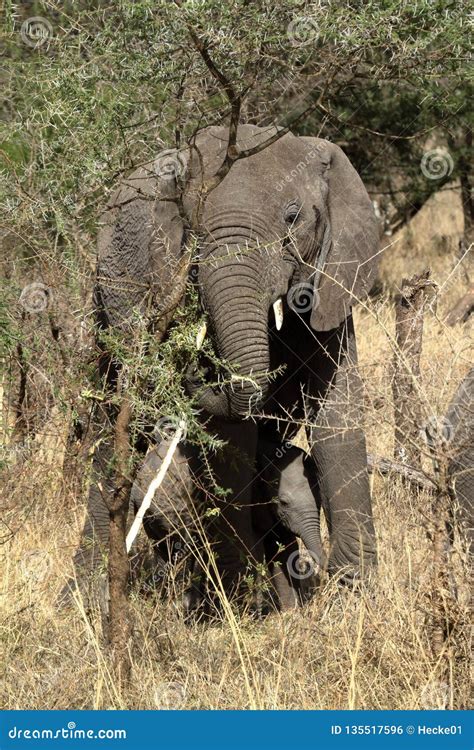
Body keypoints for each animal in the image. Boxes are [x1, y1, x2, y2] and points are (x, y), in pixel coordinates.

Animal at [66, 123, 378, 604]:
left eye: (292, 217)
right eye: (192, 227)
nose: (194, 370)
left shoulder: (333, 274)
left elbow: (336, 408)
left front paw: (355, 593)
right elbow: (231, 434)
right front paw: (251, 603)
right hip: (109, 299)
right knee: (112, 436)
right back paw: (87, 596)